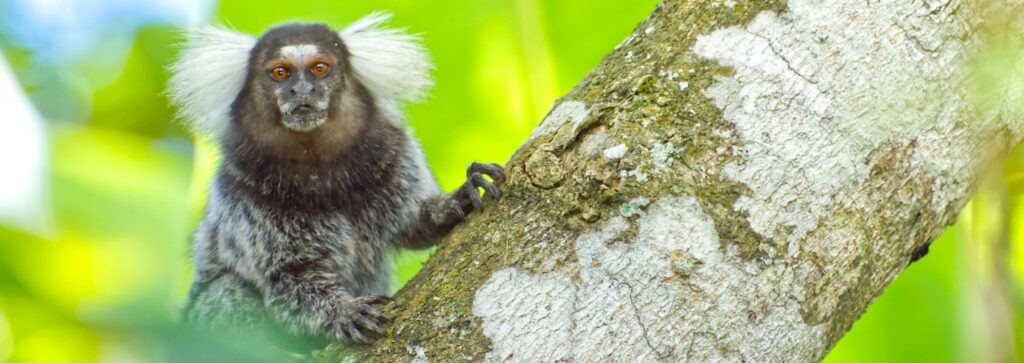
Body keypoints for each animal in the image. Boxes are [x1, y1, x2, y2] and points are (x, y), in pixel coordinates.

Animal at [168, 13, 503, 346]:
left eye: (319, 68)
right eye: (280, 73)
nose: (302, 90)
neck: (318, 169)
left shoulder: (392, 155)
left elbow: (413, 225)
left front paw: (456, 200)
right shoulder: (241, 189)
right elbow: (289, 278)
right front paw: (344, 312)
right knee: (226, 289)